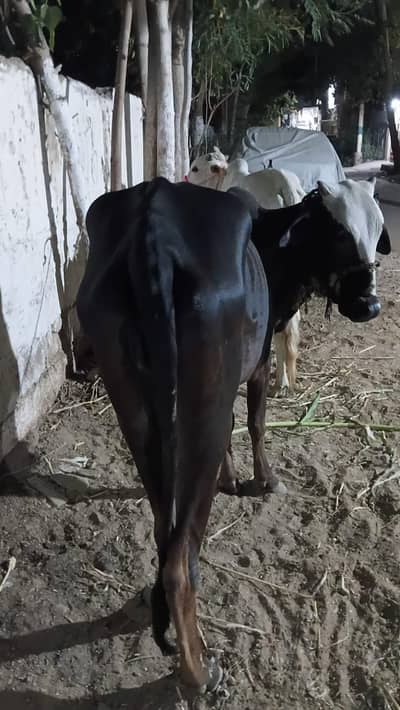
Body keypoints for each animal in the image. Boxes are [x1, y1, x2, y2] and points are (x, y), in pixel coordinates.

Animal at [77, 176, 390, 691]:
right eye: (340, 232)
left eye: (378, 229)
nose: (370, 304)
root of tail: (153, 220)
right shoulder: (257, 359)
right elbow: (257, 422)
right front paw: (265, 479)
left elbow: (232, 434)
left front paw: (231, 476)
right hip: (205, 393)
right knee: (181, 559)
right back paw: (198, 672)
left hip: (135, 401)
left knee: (166, 534)